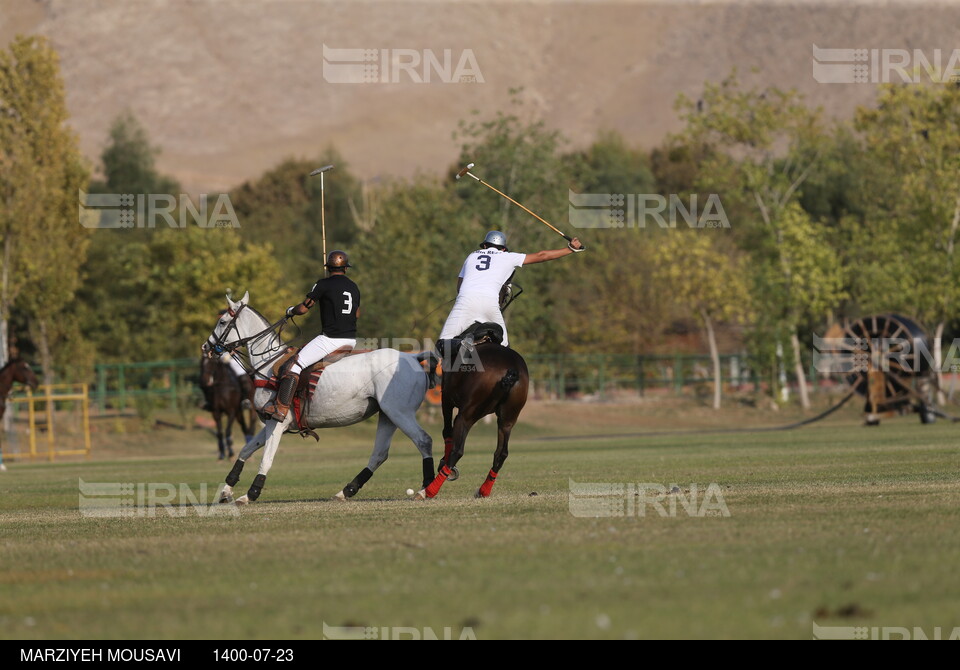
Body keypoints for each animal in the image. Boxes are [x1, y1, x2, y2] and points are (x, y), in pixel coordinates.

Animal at [206, 292, 438, 506]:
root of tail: (414, 357)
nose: (206, 347)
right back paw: (346, 491)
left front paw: (251, 494)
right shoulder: (272, 421)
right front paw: (226, 490)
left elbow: (267, 459)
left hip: (400, 412)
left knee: (423, 440)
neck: (268, 363)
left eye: (222, 322)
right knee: (379, 453)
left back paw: (425, 489)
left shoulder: (277, 422)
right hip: (387, 414)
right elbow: (246, 449)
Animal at [416, 342, 528, 498]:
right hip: (507, 420)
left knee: (458, 450)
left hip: (467, 416)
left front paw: (443, 464)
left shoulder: (446, 399)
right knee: (501, 453)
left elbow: (447, 432)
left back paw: (429, 491)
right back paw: (484, 490)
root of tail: (511, 370)